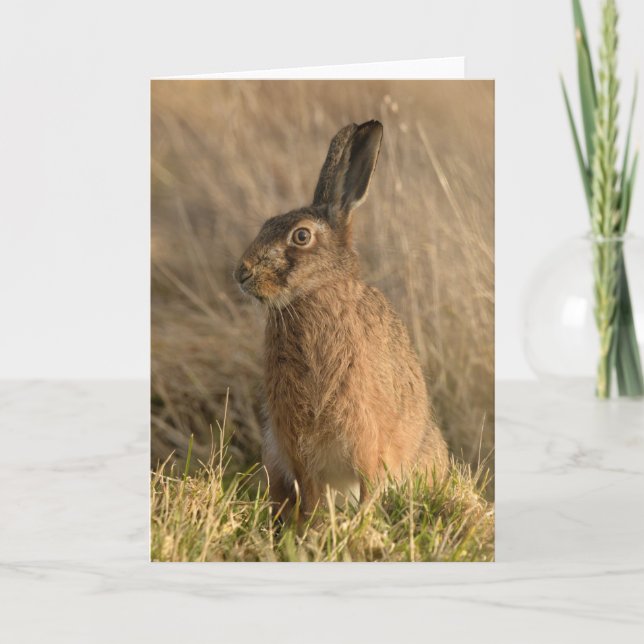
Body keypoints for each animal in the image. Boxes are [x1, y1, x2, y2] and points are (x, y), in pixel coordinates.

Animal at [234, 120, 448, 515]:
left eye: (301, 236)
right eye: (266, 223)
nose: (241, 273)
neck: (315, 293)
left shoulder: (365, 433)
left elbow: (369, 483)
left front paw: (361, 522)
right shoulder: (296, 445)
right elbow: (312, 492)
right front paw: (316, 526)